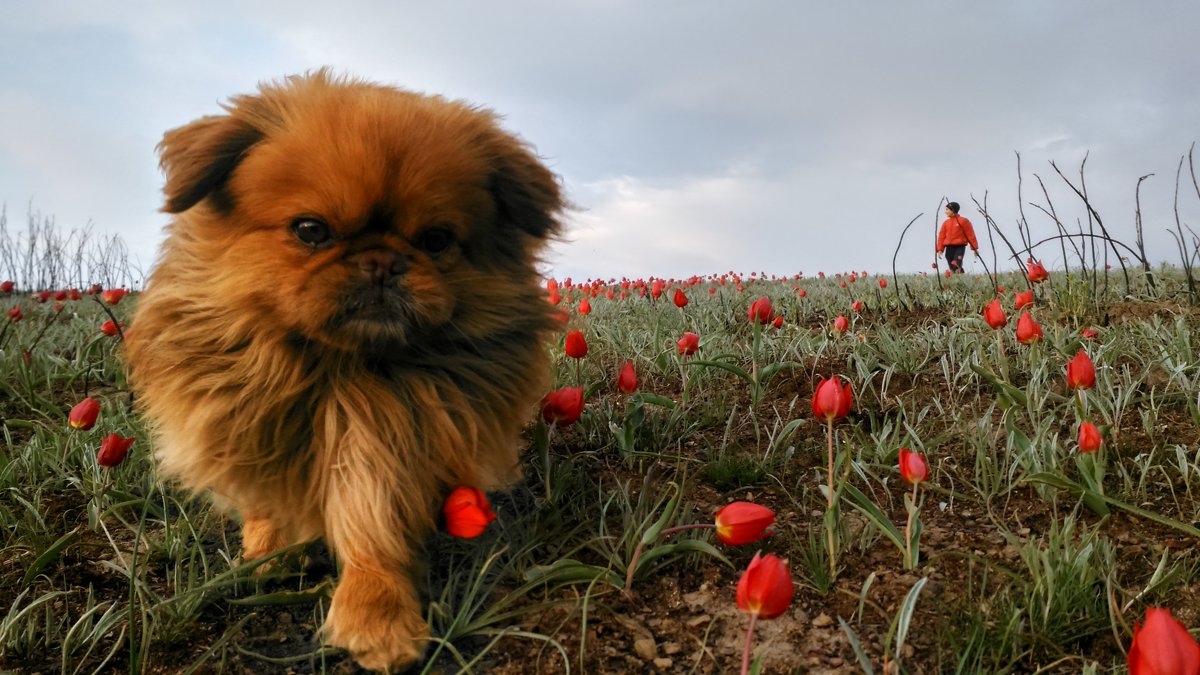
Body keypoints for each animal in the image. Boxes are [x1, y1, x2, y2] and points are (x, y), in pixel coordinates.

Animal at [126, 70, 561, 667]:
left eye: (436, 240)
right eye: (311, 230)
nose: (381, 262)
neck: (339, 370)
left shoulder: (386, 448)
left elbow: (373, 528)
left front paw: (376, 616)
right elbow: (268, 500)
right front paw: (267, 553)